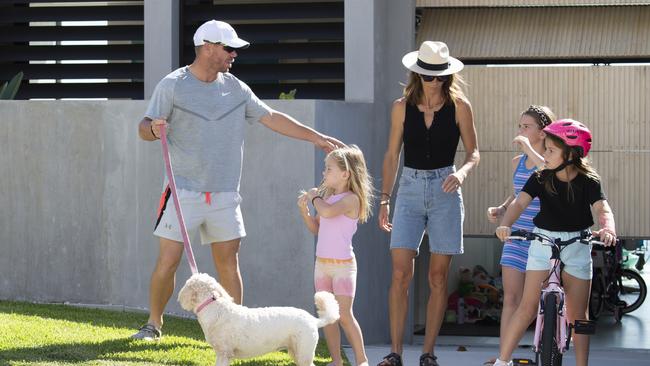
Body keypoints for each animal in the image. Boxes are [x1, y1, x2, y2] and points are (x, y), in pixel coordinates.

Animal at [177, 274, 340, 364]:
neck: (215, 308)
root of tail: (314, 320)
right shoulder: (221, 353)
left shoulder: (224, 353)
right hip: (296, 351)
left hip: (304, 351)